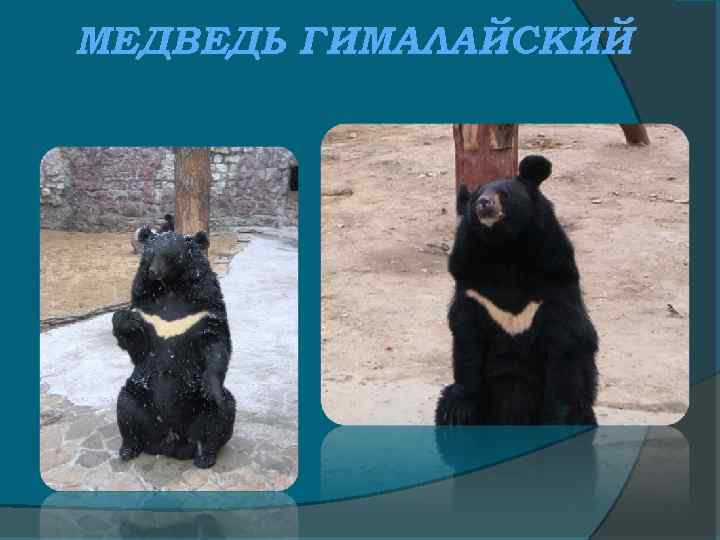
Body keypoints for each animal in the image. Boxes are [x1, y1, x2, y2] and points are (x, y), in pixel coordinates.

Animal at [112, 228, 235, 468]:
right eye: (150, 254)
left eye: (172, 256)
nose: (153, 272)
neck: (170, 289)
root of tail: (170, 443)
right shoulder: (147, 311)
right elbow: (137, 346)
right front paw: (126, 320)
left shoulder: (205, 308)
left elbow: (216, 343)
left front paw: (209, 386)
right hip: (138, 395)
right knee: (126, 409)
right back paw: (128, 449)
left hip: (200, 410)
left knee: (220, 414)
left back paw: (205, 456)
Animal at [435, 155, 598, 426]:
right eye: (477, 195)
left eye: (503, 194)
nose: (484, 203)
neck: (506, 250)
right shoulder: (476, 294)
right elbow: (467, 343)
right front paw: (460, 408)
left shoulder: (551, 292)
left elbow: (564, 349)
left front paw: (556, 416)